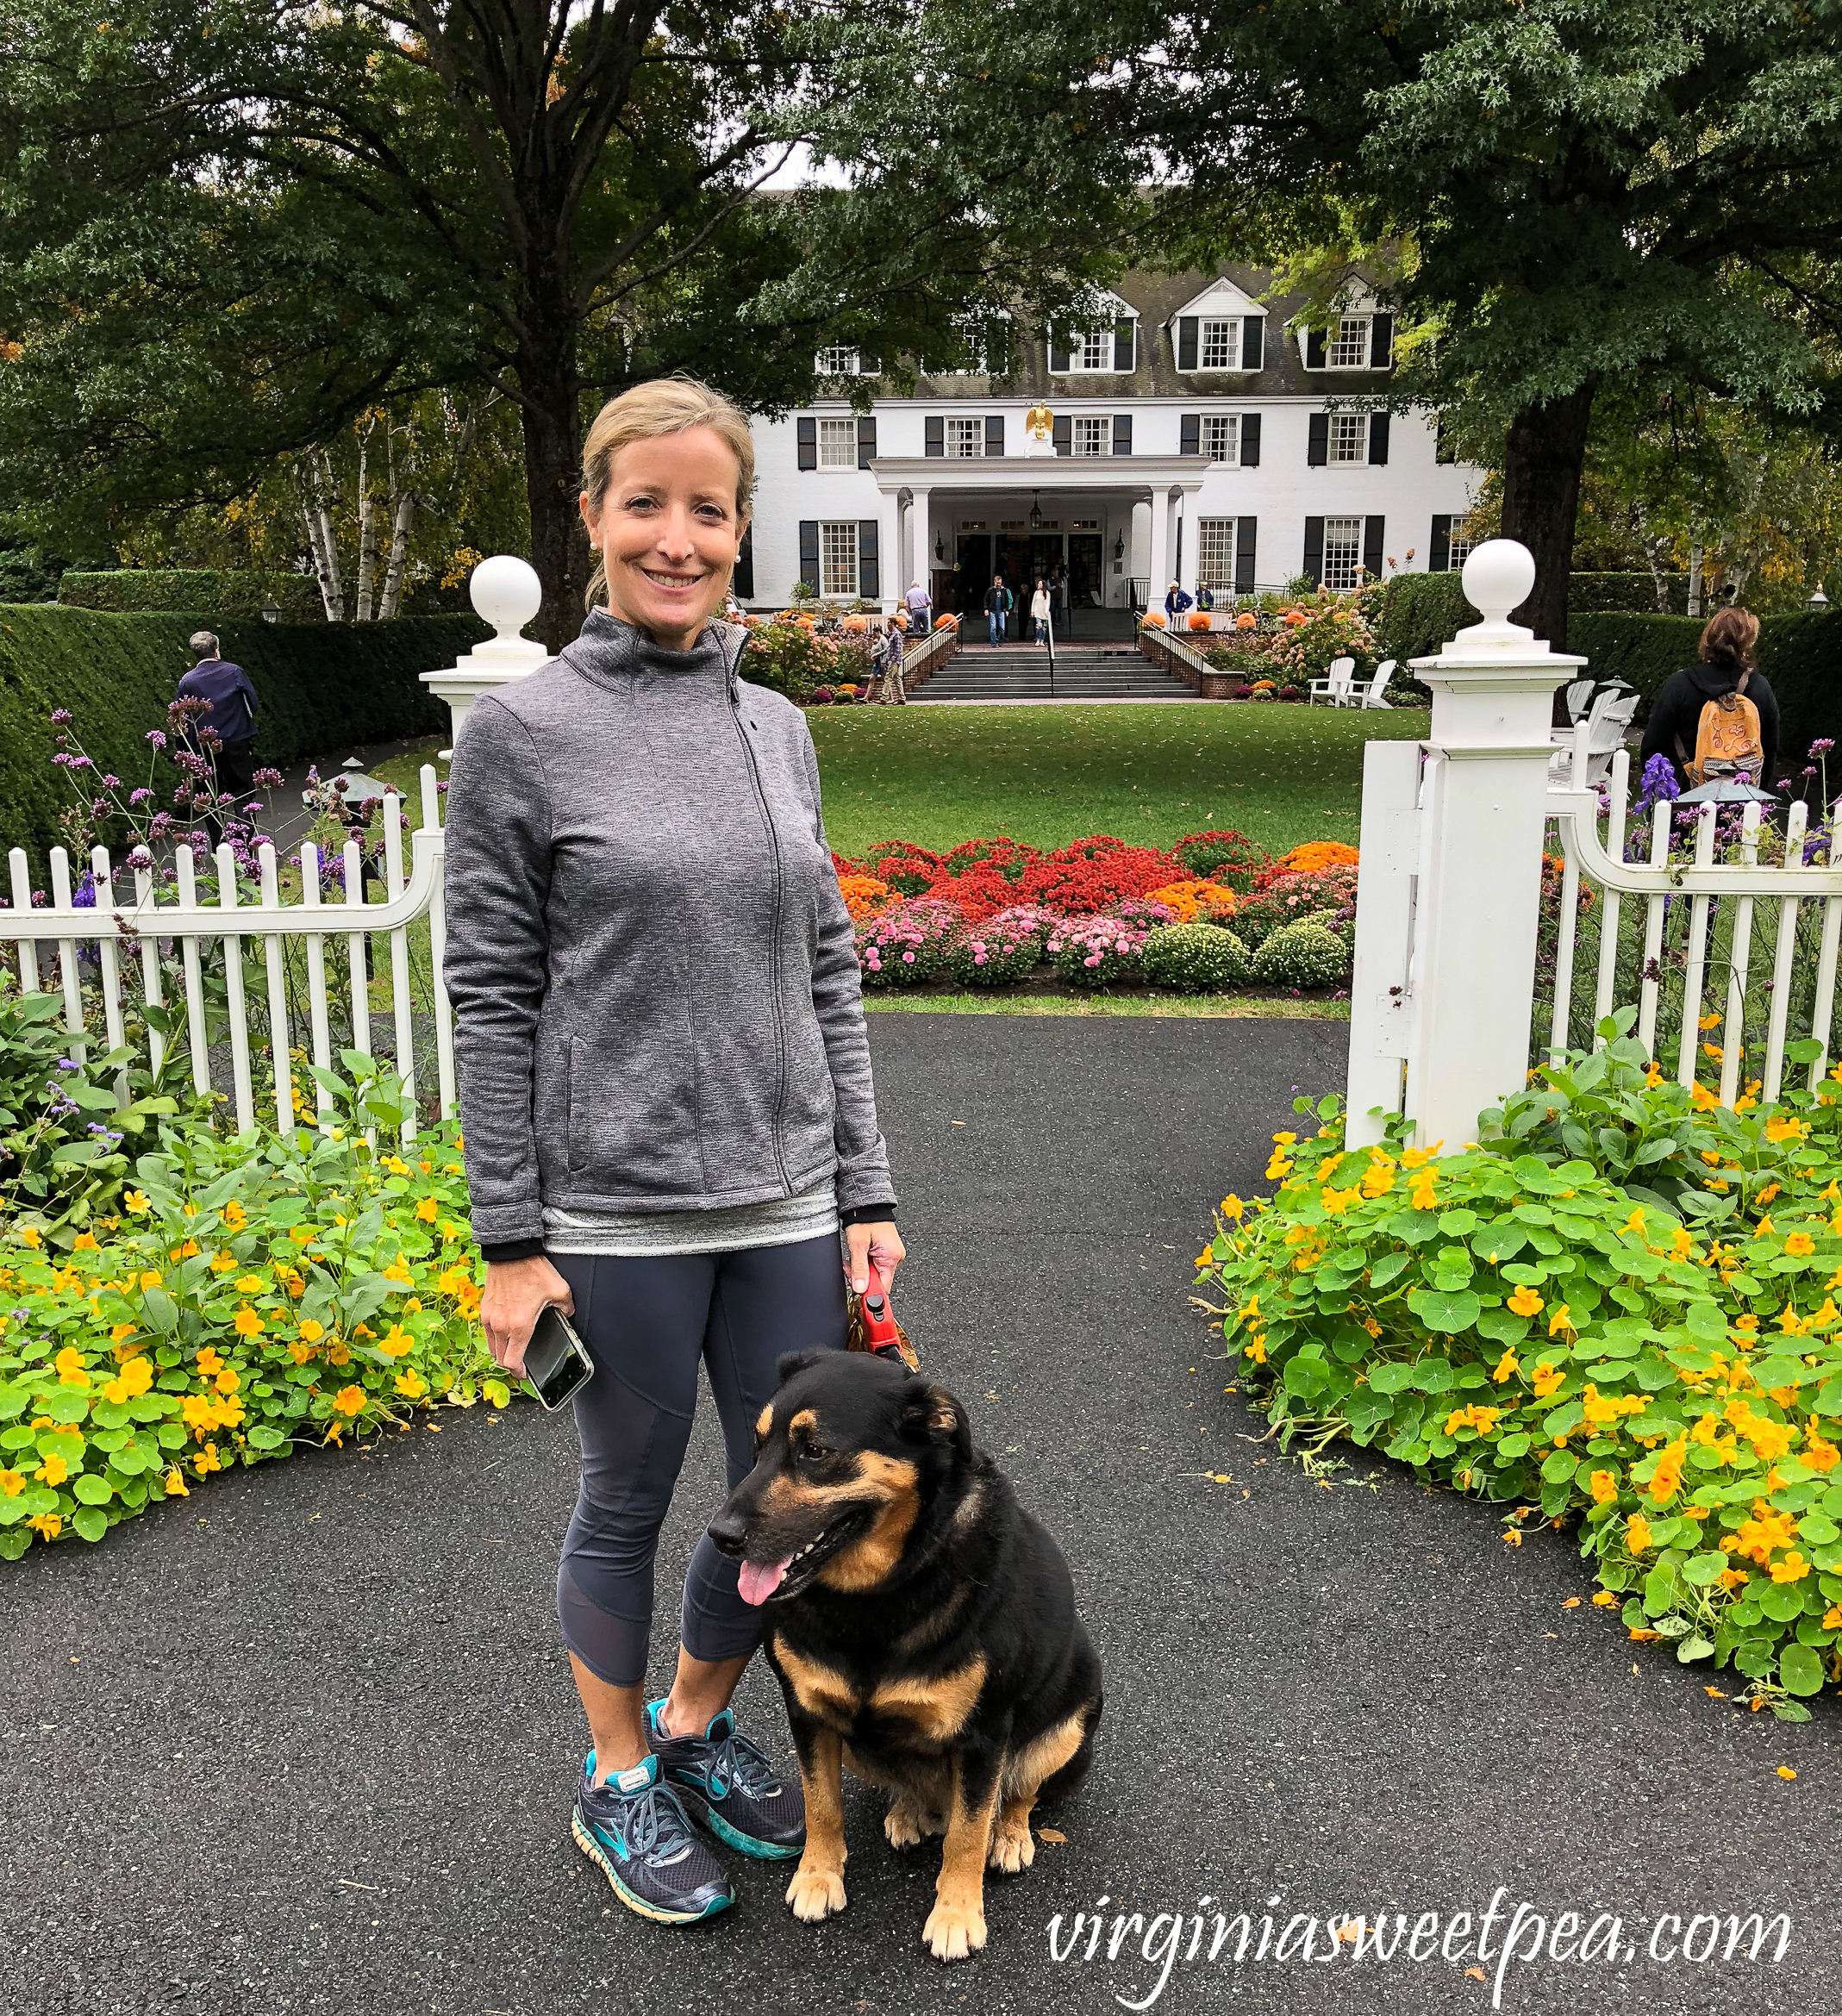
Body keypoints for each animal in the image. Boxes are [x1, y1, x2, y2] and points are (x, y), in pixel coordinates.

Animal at [705, 1346, 1096, 1959]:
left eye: (815, 1451)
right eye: (758, 1443)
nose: (720, 1536)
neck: (878, 1593)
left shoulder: (985, 1736)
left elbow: (967, 1834)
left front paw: (957, 1914)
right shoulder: (809, 1713)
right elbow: (821, 1806)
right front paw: (818, 1878)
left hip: (1073, 1716)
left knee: (1017, 1794)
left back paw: (1009, 1836)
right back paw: (909, 1812)